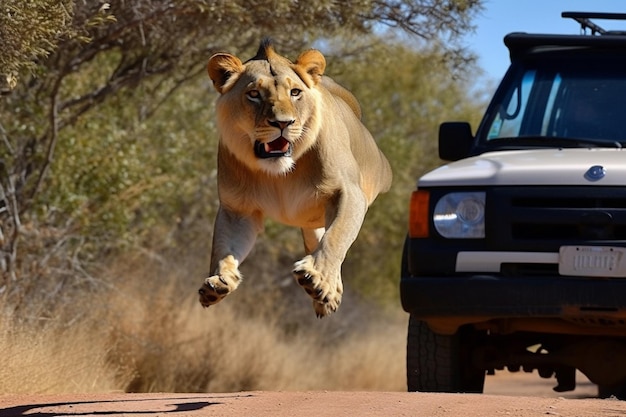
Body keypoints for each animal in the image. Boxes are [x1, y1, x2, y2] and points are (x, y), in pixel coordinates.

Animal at [197, 39, 390, 316]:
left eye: (295, 93)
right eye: (254, 94)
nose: (283, 123)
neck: (279, 174)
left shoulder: (349, 193)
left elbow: (336, 237)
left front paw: (316, 277)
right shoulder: (238, 210)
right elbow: (224, 247)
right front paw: (219, 281)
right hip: (310, 223)